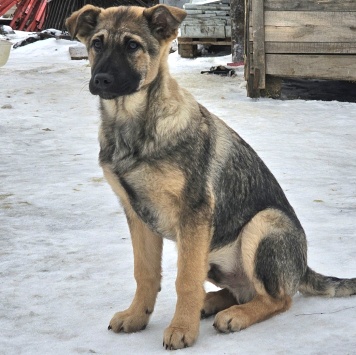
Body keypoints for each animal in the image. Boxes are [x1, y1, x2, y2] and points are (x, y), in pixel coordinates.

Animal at [66, 4, 356, 350]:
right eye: (96, 43)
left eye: (132, 46)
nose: (101, 79)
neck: (132, 123)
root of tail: (302, 268)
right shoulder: (137, 215)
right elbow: (145, 273)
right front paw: (137, 316)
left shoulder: (194, 212)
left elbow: (185, 280)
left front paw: (182, 328)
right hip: (211, 252)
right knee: (242, 290)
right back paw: (213, 303)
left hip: (262, 224)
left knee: (278, 298)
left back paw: (235, 315)